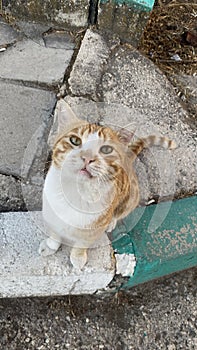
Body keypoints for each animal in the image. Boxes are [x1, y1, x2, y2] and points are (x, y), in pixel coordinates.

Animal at [38, 100, 175, 270]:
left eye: (106, 149)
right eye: (75, 141)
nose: (87, 158)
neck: (76, 193)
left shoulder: (93, 230)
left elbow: (81, 244)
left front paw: (77, 258)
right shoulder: (51, 215)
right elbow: (54, 234)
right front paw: (50, 246)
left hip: (131, 198)